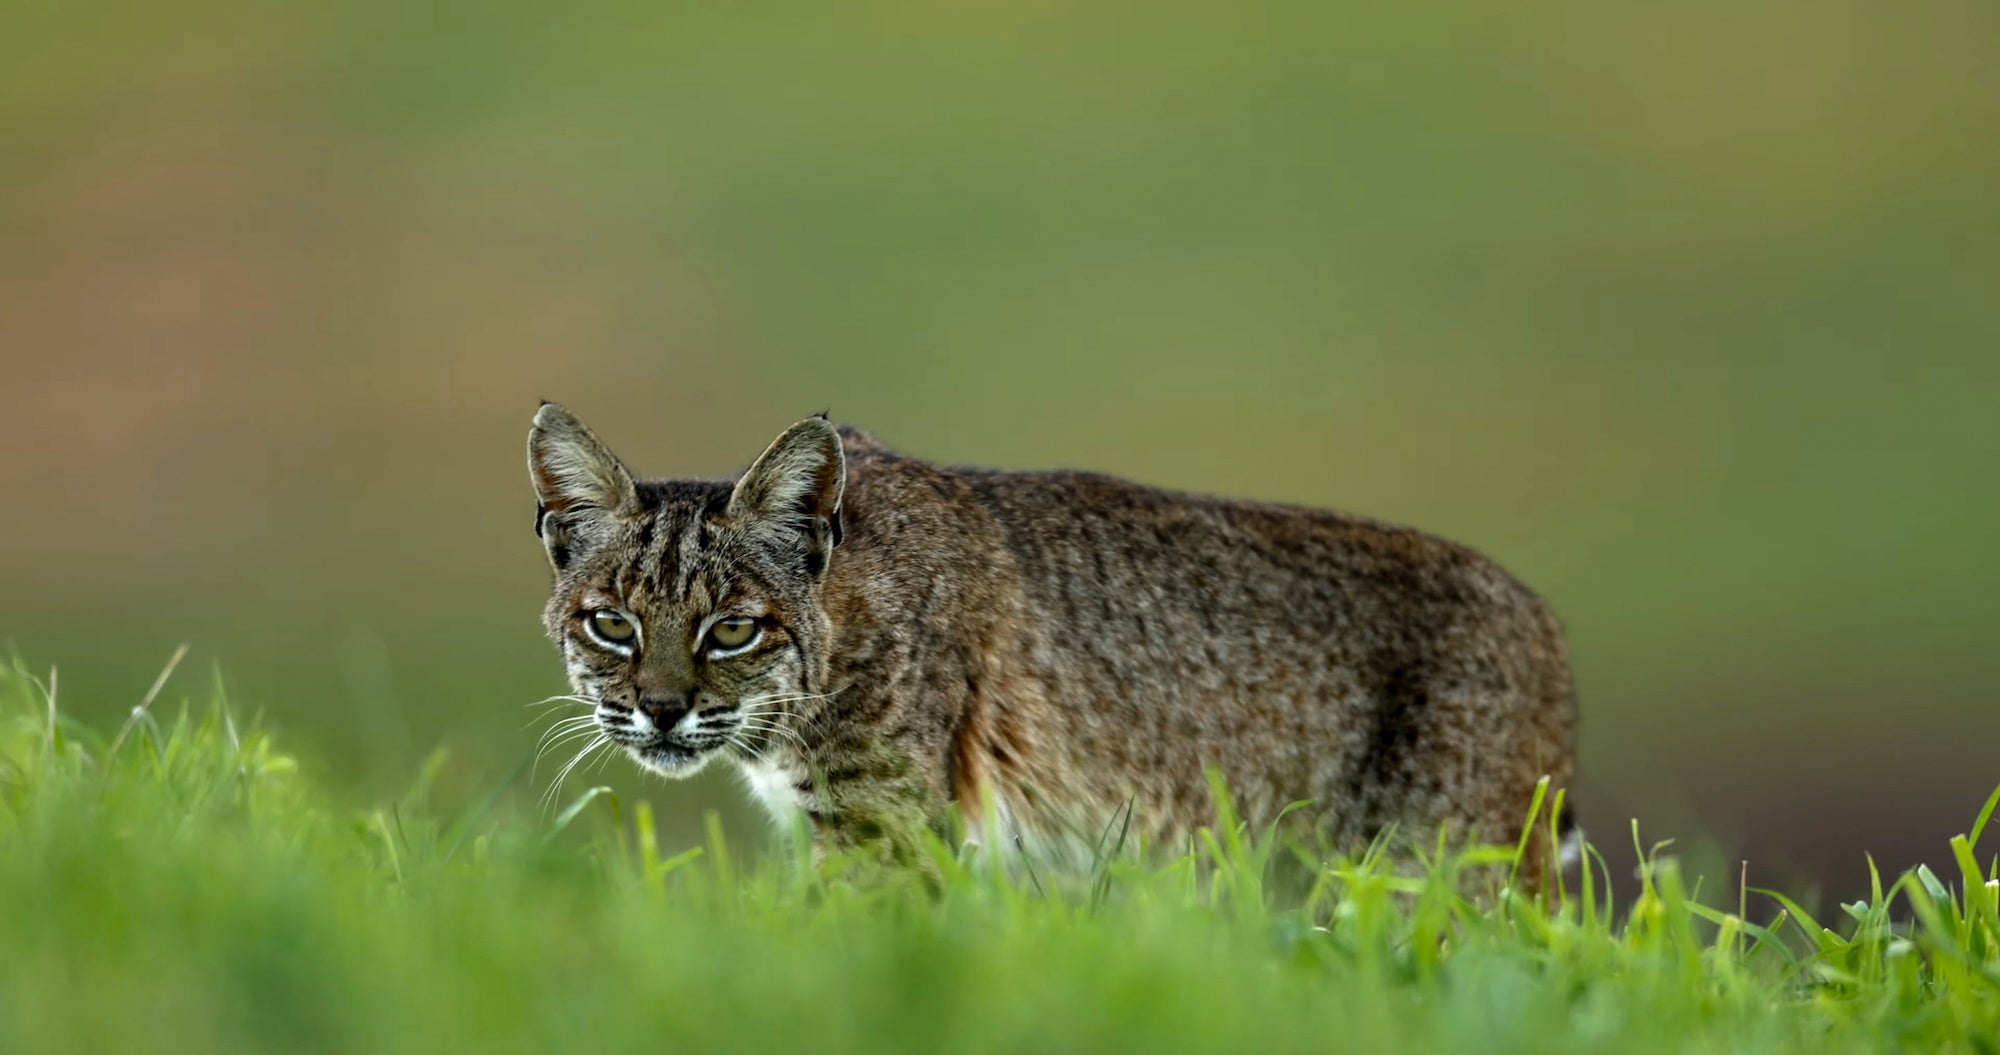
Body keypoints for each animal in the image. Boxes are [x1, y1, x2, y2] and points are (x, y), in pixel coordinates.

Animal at [528, 403, 1576, 883]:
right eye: (612, 623)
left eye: (734, 628)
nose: (663, 711)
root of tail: (1541, 611)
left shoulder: (883, 830)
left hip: (1434, 861)